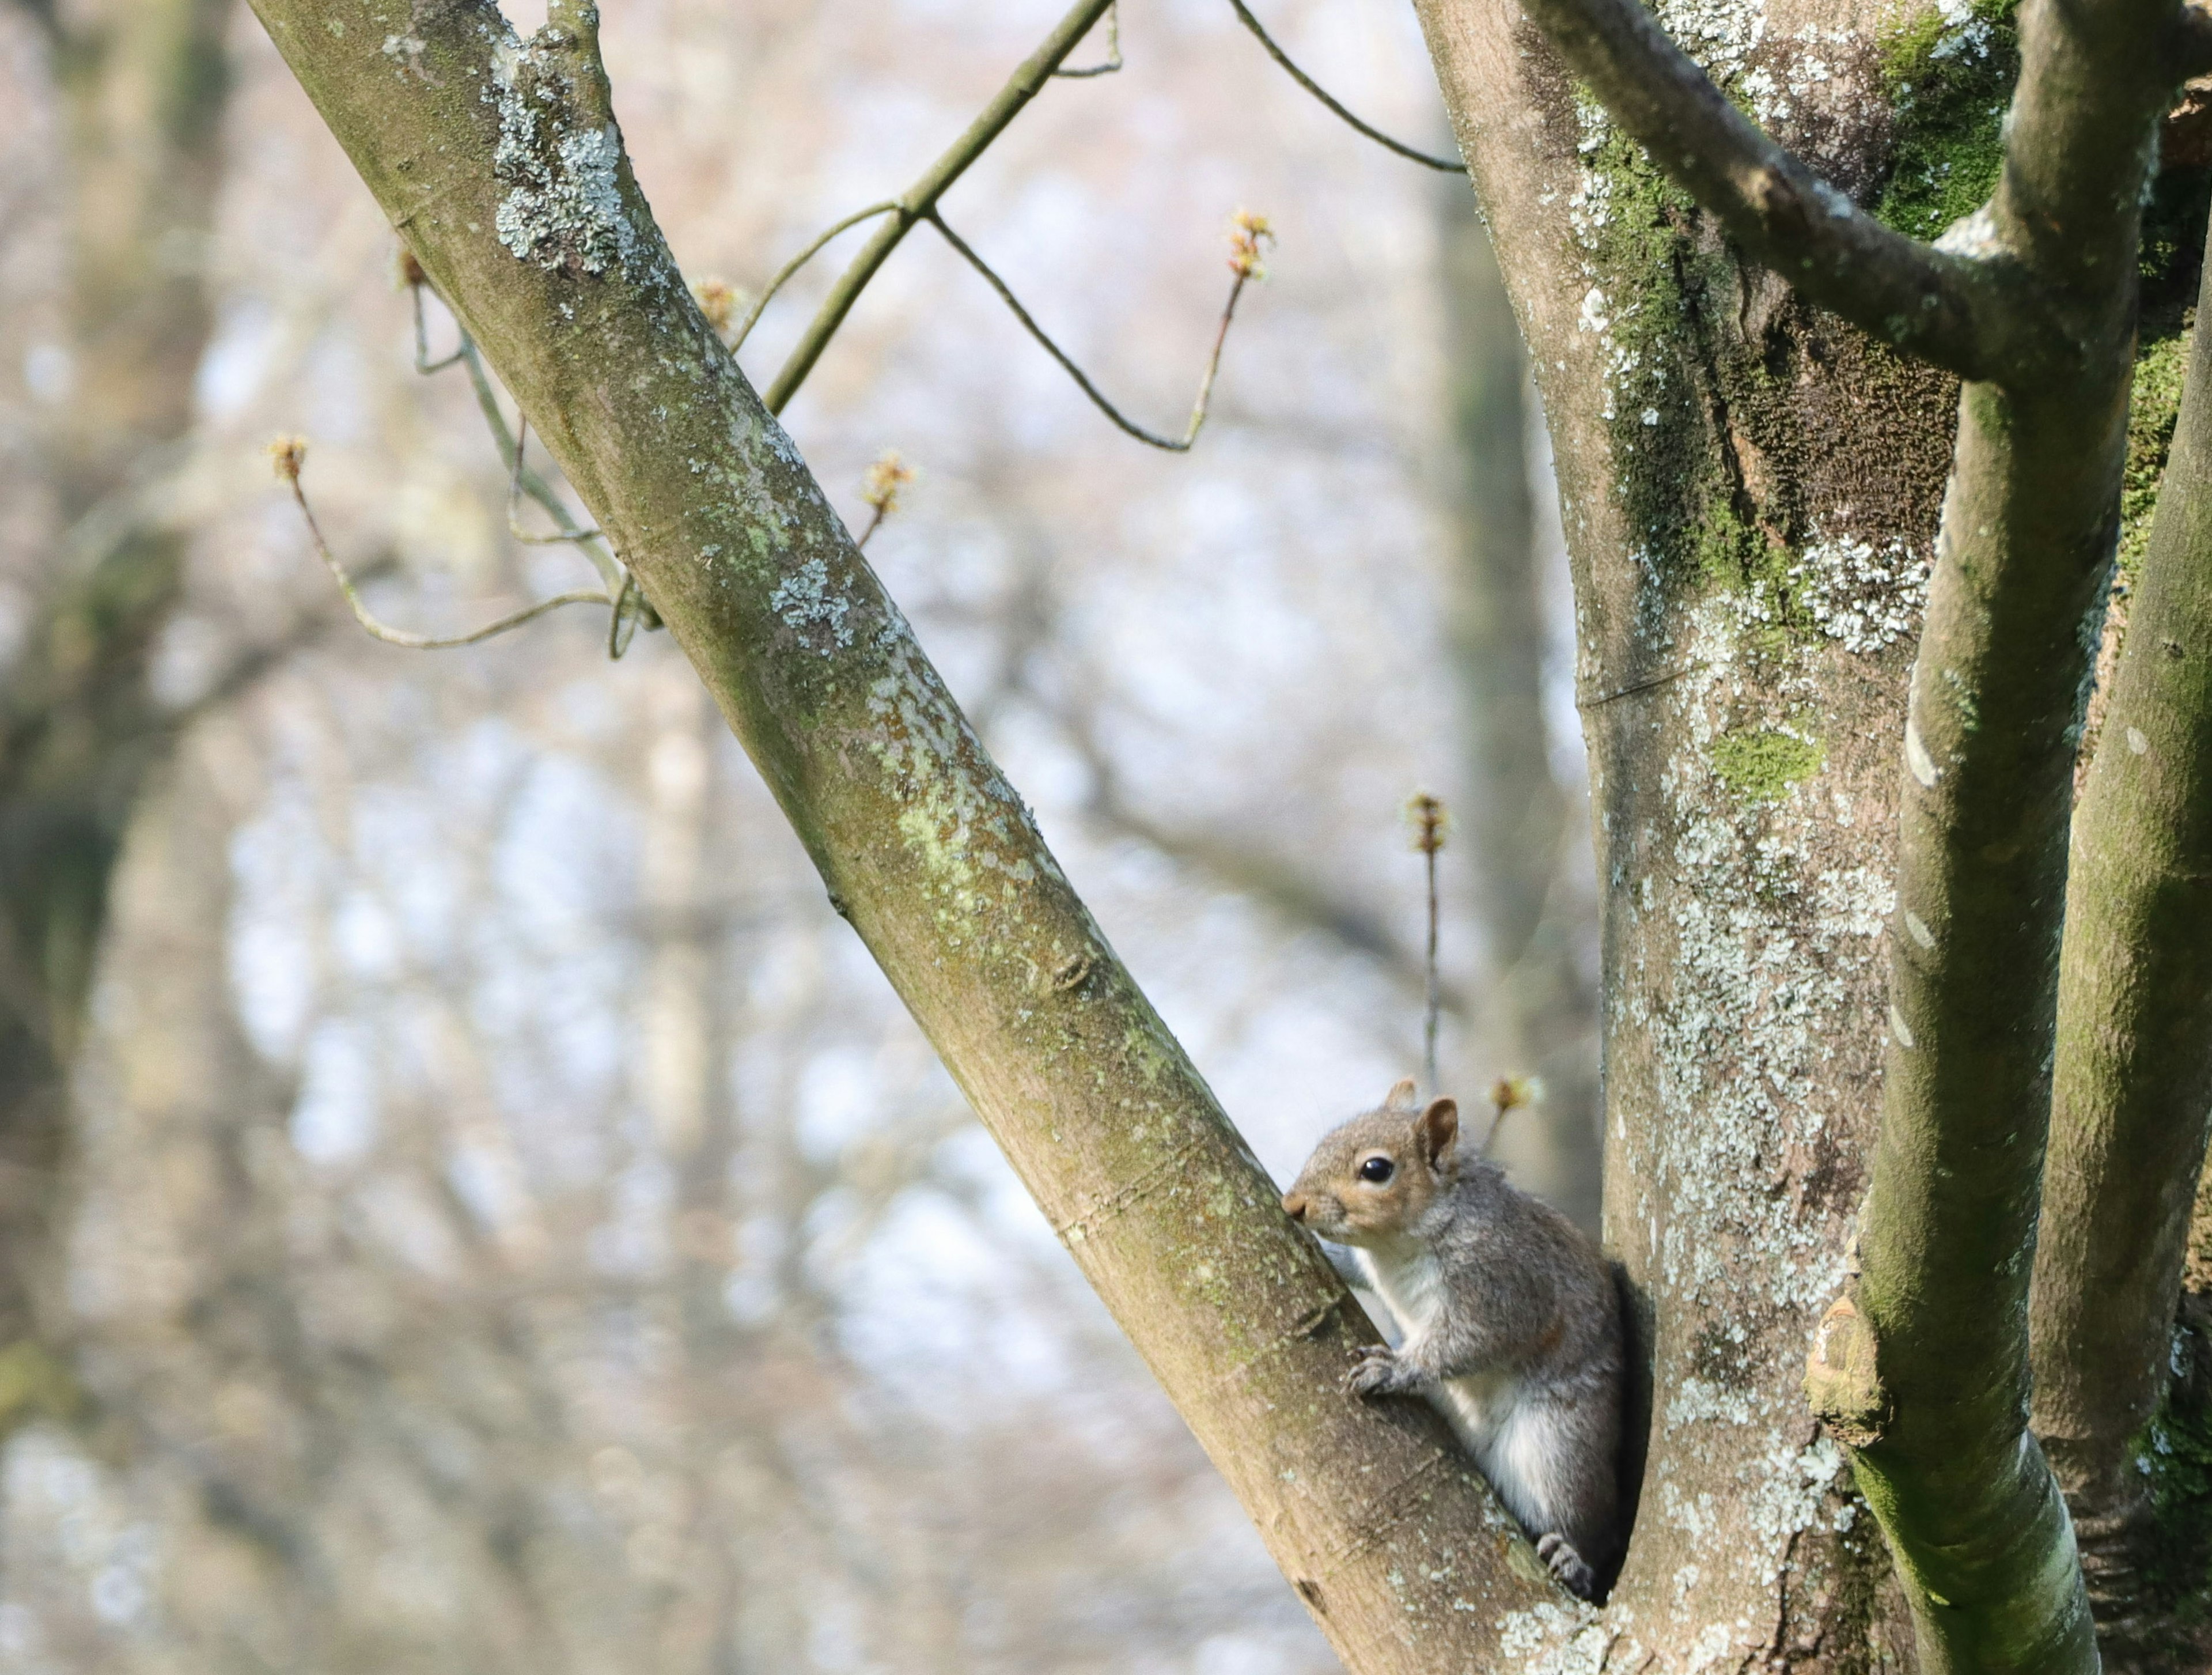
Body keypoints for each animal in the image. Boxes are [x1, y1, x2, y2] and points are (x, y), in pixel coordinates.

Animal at [1283, 1079, 1628, 1602]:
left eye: (1376, 1169)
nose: (1293, 1205)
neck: (1395, 1245)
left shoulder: (1501, 1282)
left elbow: (1470, 1340)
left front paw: (1395, 1368)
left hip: (1561, 1446)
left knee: (1584, 1517)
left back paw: (1574, 1559)